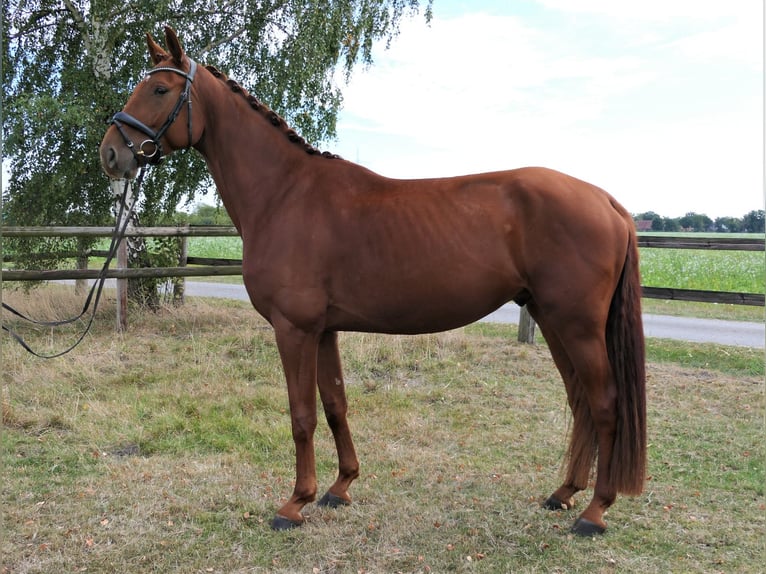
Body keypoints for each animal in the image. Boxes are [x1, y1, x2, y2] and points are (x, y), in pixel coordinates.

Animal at [100, 26, 646, 536]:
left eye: (161, 90)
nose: (111, 155)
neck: (284, 194)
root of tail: (608, 202)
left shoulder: (294, 329)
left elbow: (302, 415)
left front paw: (293, 504)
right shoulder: (323, 331)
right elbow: (335, 404)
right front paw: (339, 488)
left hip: (576, 325)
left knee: (604, 404)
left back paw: (595, 512)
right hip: (551, 319)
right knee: (580, 403)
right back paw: (564, 493)